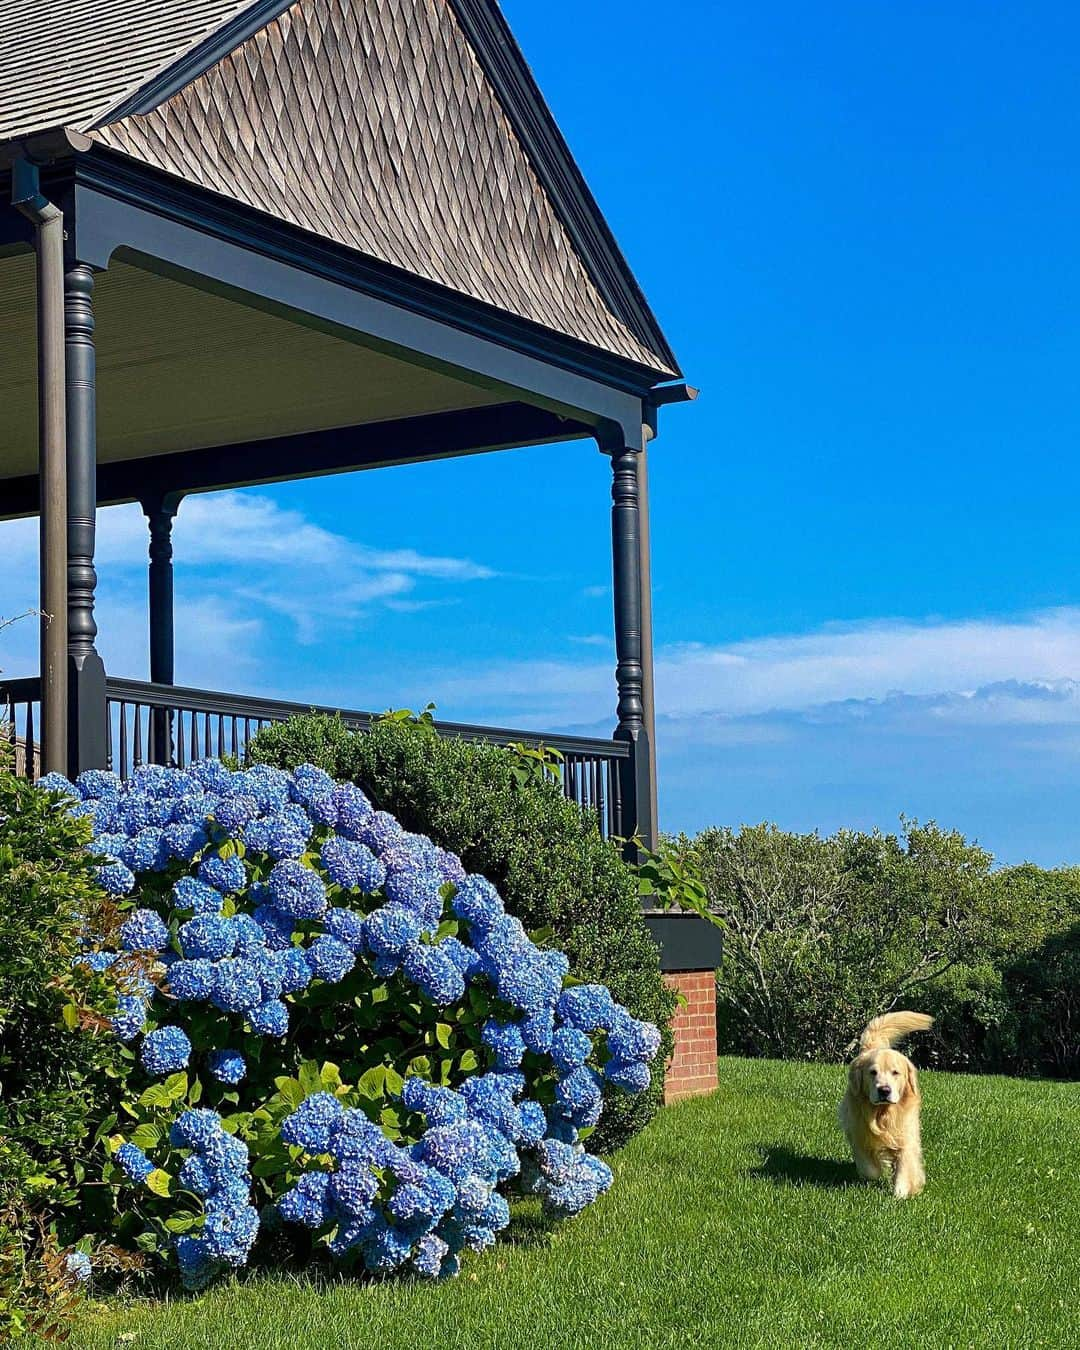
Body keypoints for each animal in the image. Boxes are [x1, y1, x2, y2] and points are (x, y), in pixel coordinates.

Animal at [837, 1009, 934, 1198]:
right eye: (872, 1072)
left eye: (895, 1072)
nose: (884, 1090)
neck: (883, 1113)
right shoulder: (858, 1133)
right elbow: (869, 1168)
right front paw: (877, 1174)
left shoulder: (906, 1137)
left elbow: (905, 1166)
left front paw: (901, 1193)